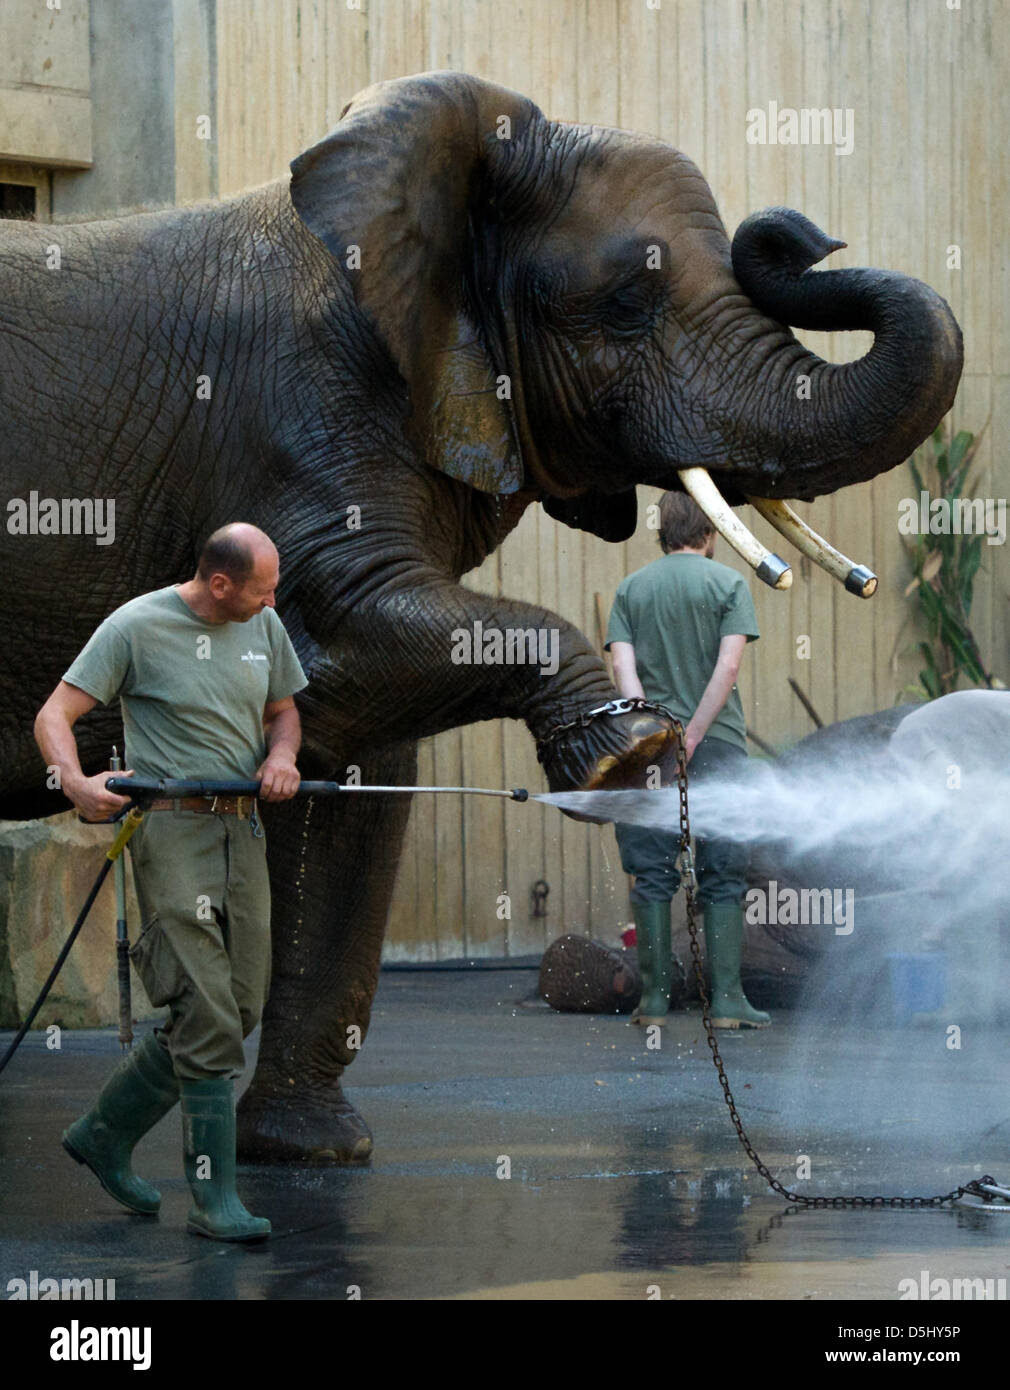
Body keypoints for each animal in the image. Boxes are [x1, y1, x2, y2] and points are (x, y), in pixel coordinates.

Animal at [0, 71, 962, 1162]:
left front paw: (311, 1152)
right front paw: (627, 756)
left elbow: (347, 761)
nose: (804, 235)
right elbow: (337, 635)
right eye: (626, 302)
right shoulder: (297, 411)